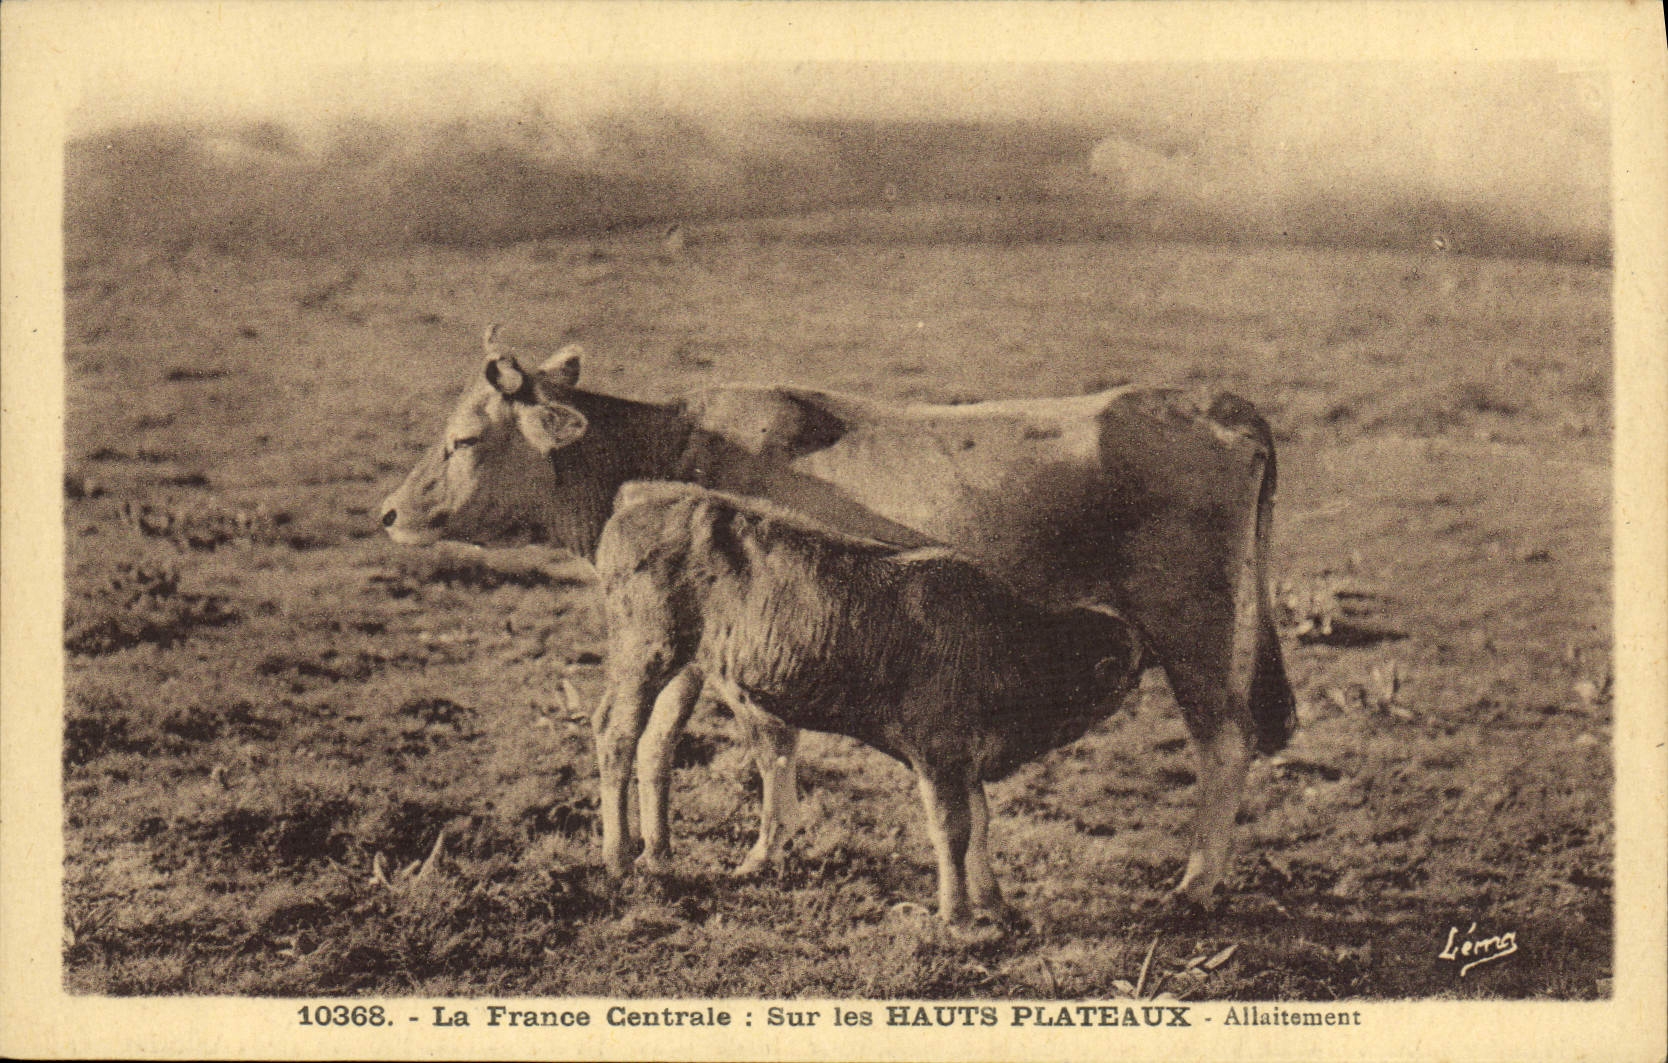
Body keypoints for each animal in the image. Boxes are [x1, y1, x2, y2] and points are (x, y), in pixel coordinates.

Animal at [593, 481, 1147, 923]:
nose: (1139, 672)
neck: (1010, 641)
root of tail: (637, 504)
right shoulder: (939, 757)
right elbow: (953, 829)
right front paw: (956, 916)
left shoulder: (965, 761)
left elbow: (981, 824)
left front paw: (995, 905)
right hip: (645, 655)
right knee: (616, 734)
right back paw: (618, 859)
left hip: (685, 667)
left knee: (657, 744)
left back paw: (658, 856)